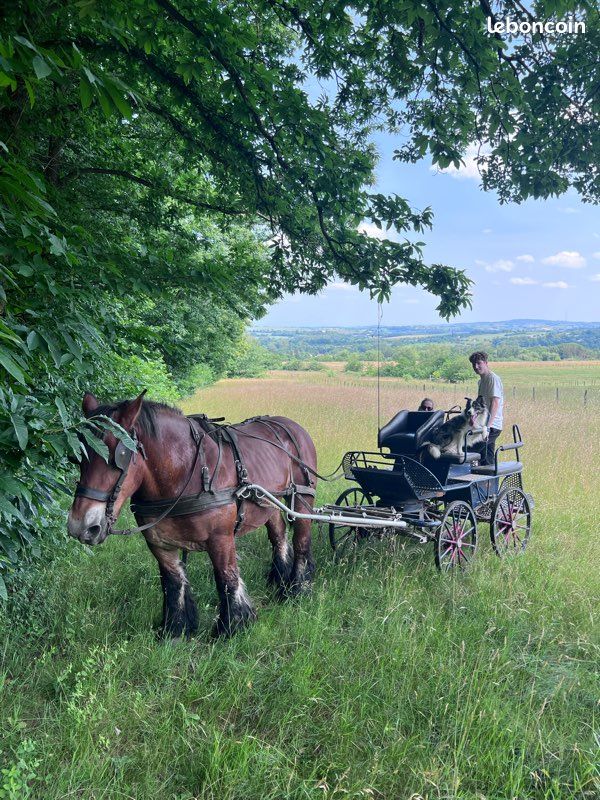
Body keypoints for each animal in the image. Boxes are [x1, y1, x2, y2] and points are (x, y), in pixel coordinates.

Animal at [67, 392, 317, 638]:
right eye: (77, 456)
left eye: (119, 455)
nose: (81, 526)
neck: (185, 473)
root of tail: (293, 425)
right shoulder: (159, 543)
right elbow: (173, 582)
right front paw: (175, 629)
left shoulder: (221, 538)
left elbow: (227, 579)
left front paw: (232, 627)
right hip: (268, 504)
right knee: (279, 538)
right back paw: (280, 581)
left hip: (303, 499)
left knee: (301, 542)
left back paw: (296, 589)